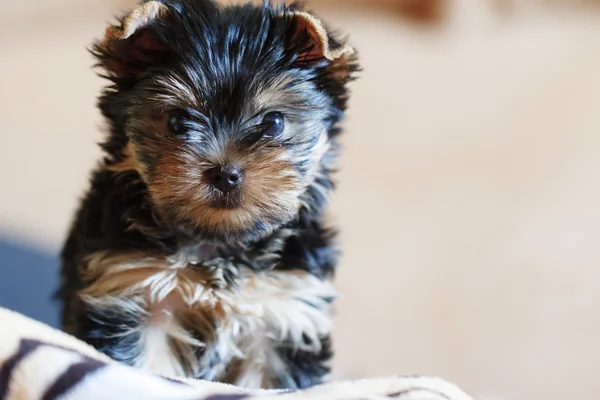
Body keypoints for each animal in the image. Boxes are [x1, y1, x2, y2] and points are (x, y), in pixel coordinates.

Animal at [57, 0, 356, 390]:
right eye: (178, 121)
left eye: (274, 122)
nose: (225, 174)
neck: (219, 243)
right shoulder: (134, 290)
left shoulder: (286, 309)